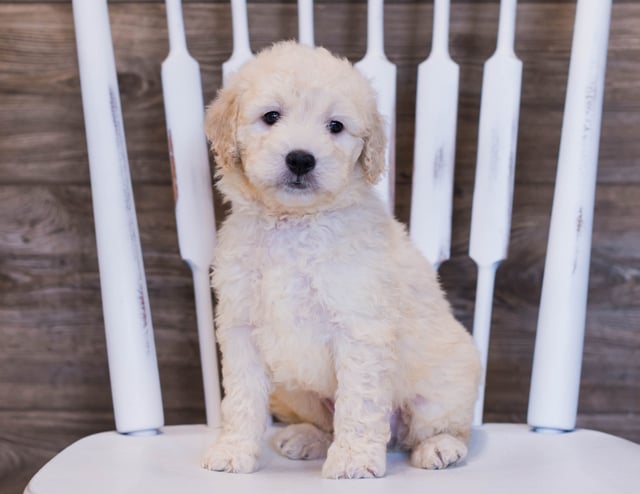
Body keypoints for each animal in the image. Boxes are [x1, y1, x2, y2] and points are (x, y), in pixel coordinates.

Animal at [201, 41, 480, 478]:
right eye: (271, 117)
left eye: (335, 126)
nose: (301, 159)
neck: (293, 223)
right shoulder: (240, 326)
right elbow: (241, 399)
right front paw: (233, 451)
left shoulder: (359, 328)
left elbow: (359, 404)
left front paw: (353, 459)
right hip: (294, 391)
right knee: (324, 420)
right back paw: (307, 438)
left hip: (447, 381)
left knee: (440, 426)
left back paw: (439, 446)